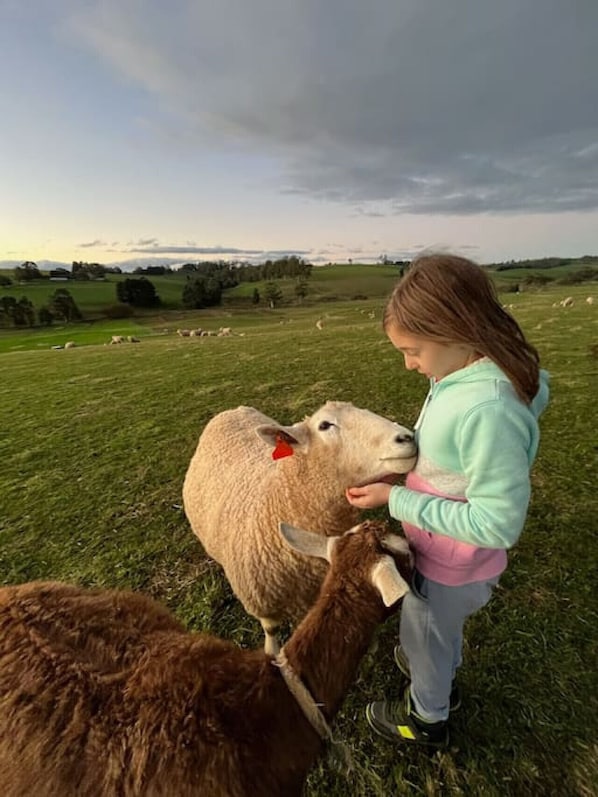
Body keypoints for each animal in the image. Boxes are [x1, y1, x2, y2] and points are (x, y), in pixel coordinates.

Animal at [183, 398, 418, 652]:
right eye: (324, 425)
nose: (407, 437)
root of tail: (232, 410)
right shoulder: (263, 603)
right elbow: (271, 630)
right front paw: (272, 650)